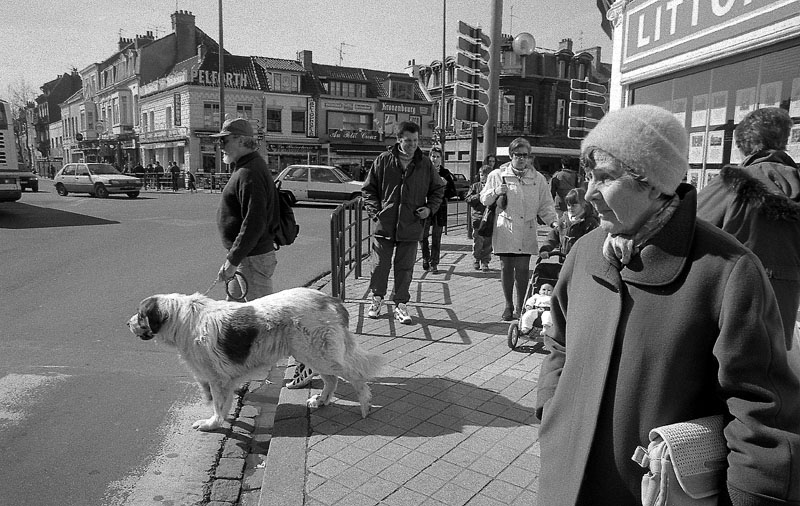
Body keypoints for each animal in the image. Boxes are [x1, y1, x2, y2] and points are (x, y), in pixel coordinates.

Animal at [128, 286, 384, 428]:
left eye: (140, 316)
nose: (127, 323)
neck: (182, 319)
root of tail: (331, 300)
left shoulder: (217, 379)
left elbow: (219, 406)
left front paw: (212, 424)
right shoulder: (219, 380)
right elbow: (221, 404)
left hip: (319, 354)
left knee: (356, 377)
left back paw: (365, 407)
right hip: (312, 355)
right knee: (331, 380)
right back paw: (321, 401)